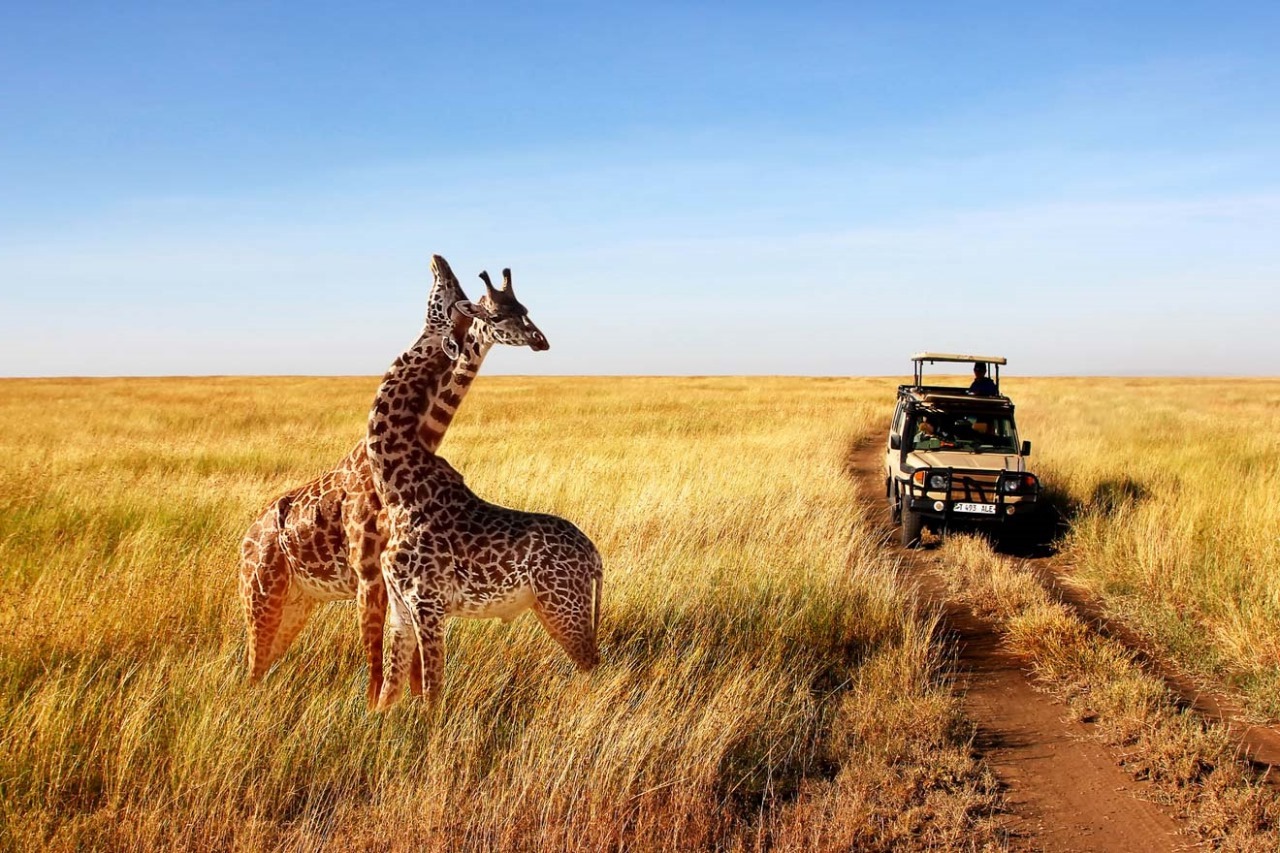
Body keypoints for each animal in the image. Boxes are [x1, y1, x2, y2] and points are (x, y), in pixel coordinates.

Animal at [238, 256, 548, 706]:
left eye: (523, 308)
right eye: (495, 312)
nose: (541, 341)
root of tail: (246, 538)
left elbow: (407, 661)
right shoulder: (371, 575)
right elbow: (379, 660)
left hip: (297, 602)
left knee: (263, 665)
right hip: (261, 595)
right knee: (253, 665)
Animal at [365, 302, 603, 711]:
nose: (539, 339)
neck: (397, 489)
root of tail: (594, 556)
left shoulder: (428, 603)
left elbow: (432, 689)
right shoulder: (400, 607)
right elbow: (390, 691)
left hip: (562, 605)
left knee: (593, 663)